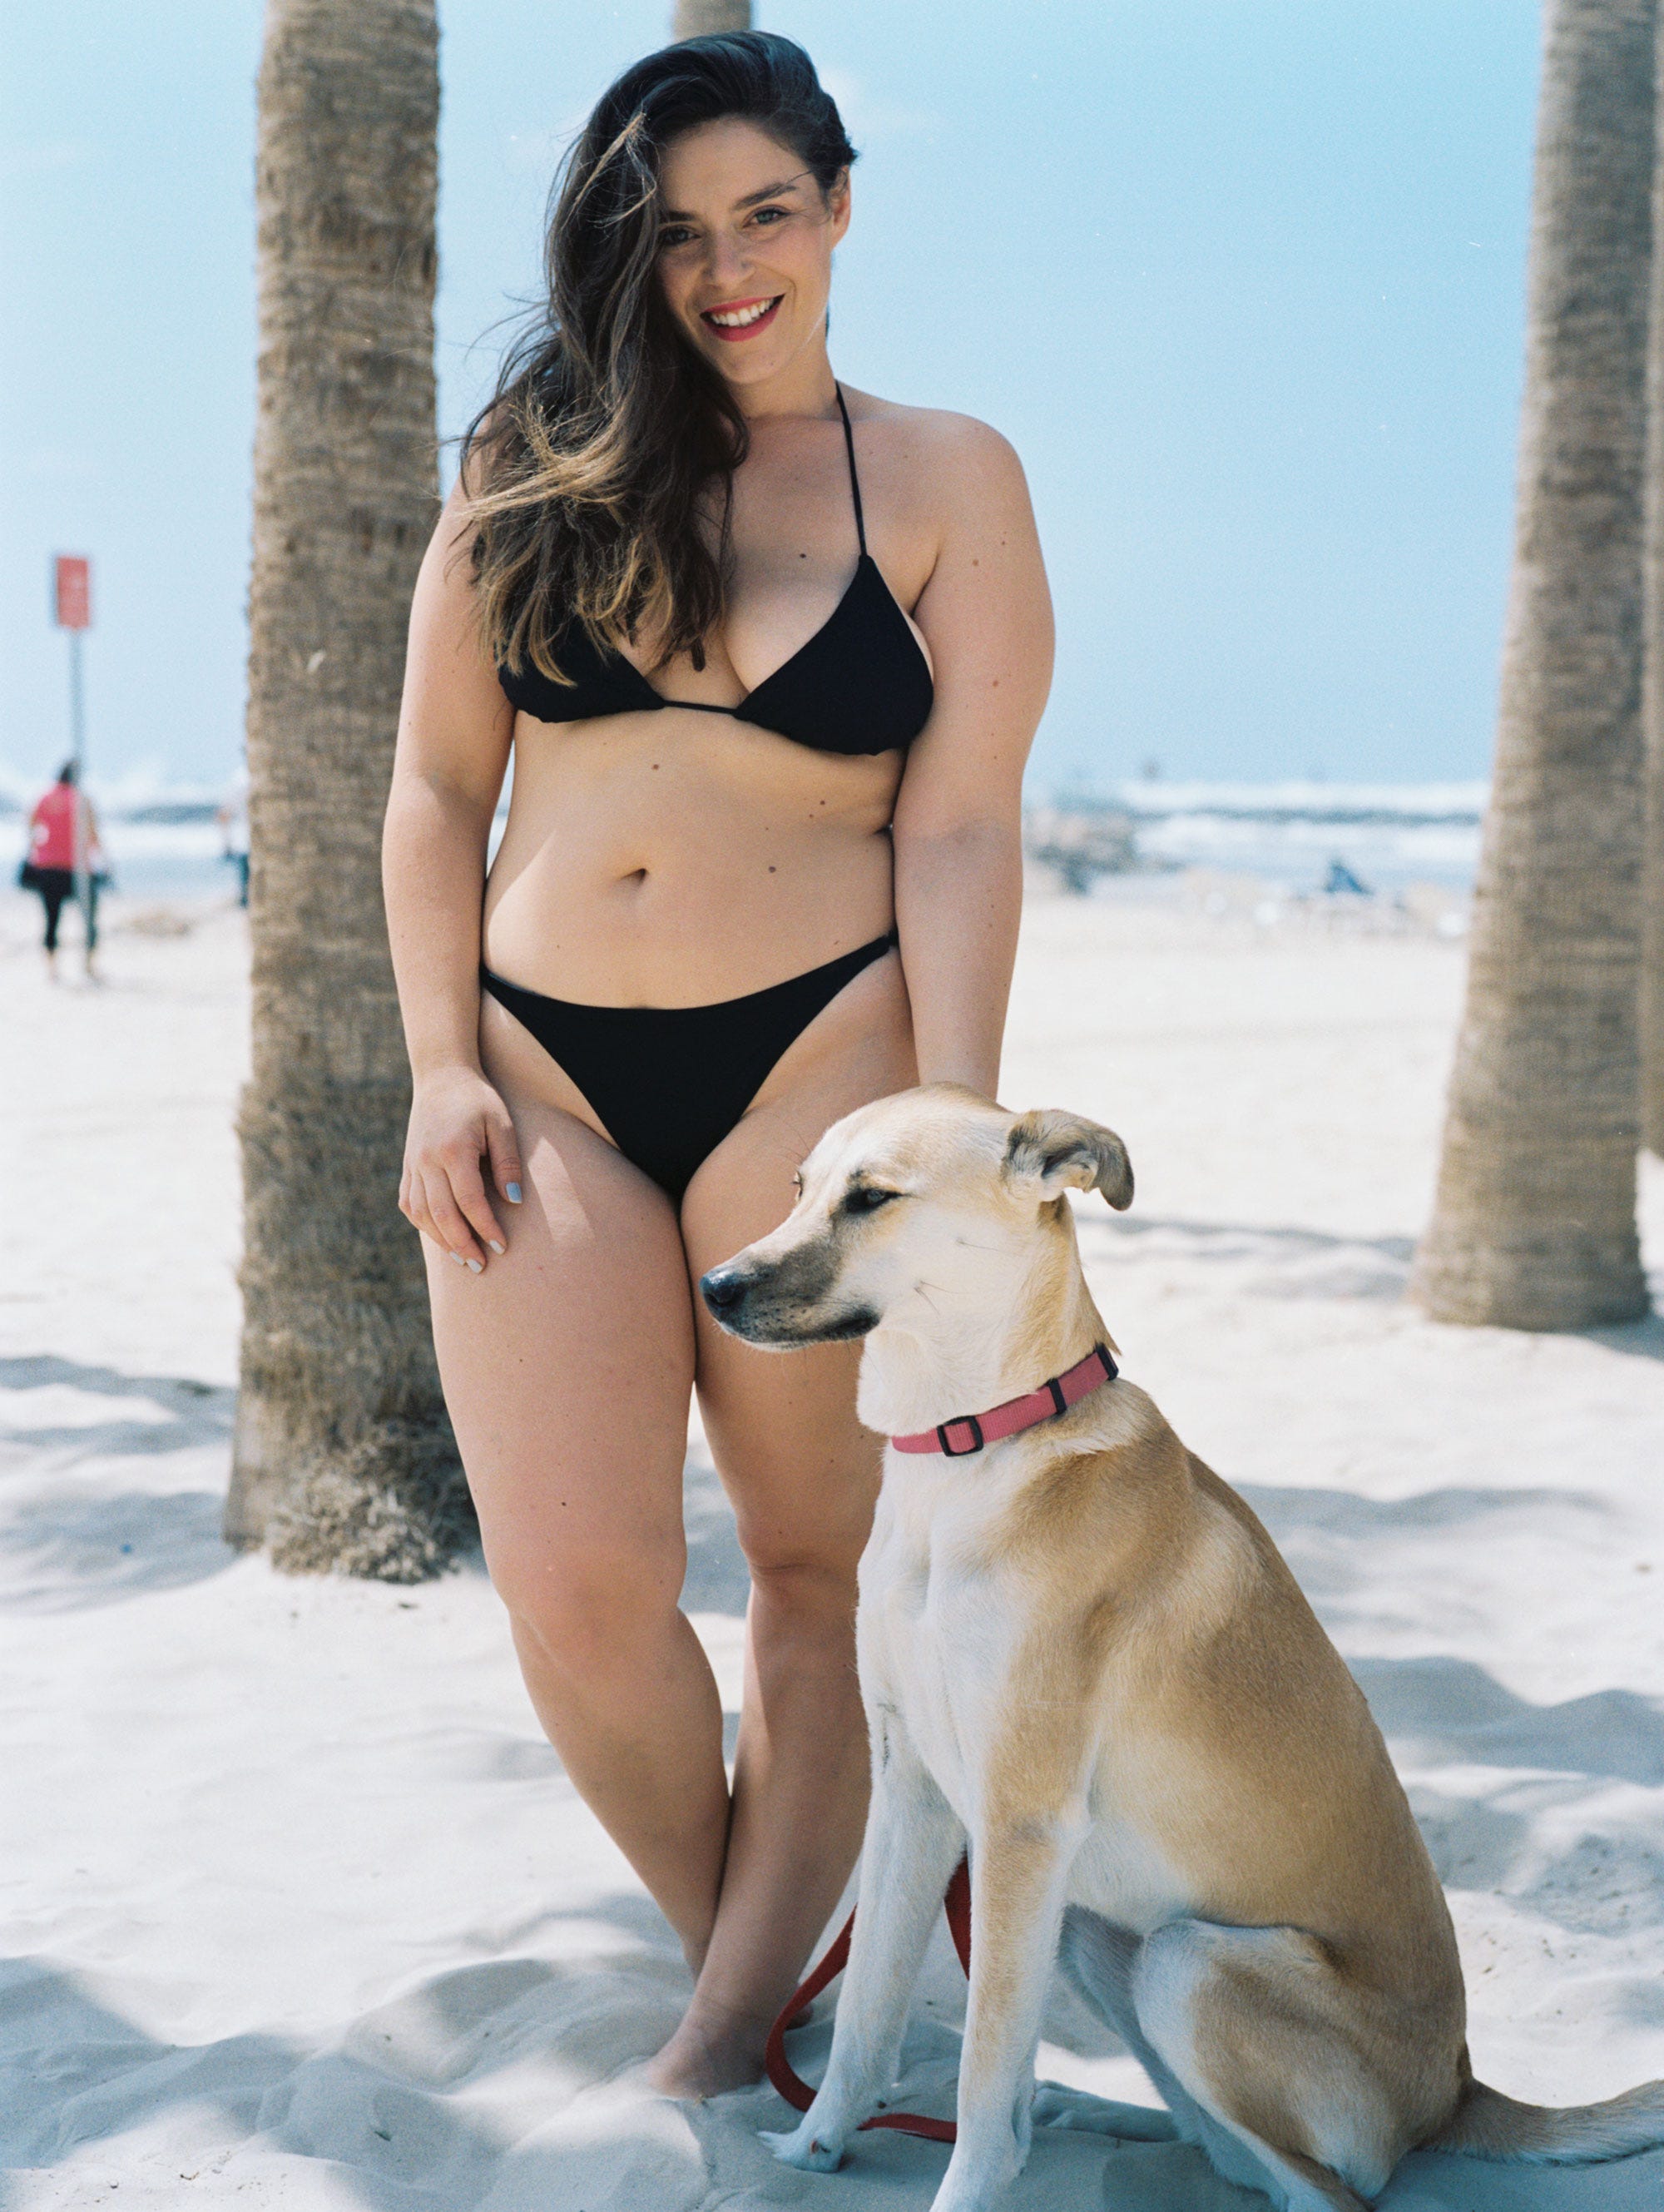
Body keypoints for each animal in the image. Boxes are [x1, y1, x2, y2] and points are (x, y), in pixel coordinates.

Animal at [703, 1088, 1664, 2212]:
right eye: (799, 1187)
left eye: (871, 1198)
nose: (714, 1288)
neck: (975, 1449)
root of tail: (1458, 2091)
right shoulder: (912, 1795)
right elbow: (864, 2014)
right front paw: (811, 2148)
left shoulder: (1018, 1823)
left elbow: (984, 2070)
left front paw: (965, 2184)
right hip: (1090, 1922)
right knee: (1216, 2148)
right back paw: (1092, 2111)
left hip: (1183, 1964)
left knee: (1325, 2189)